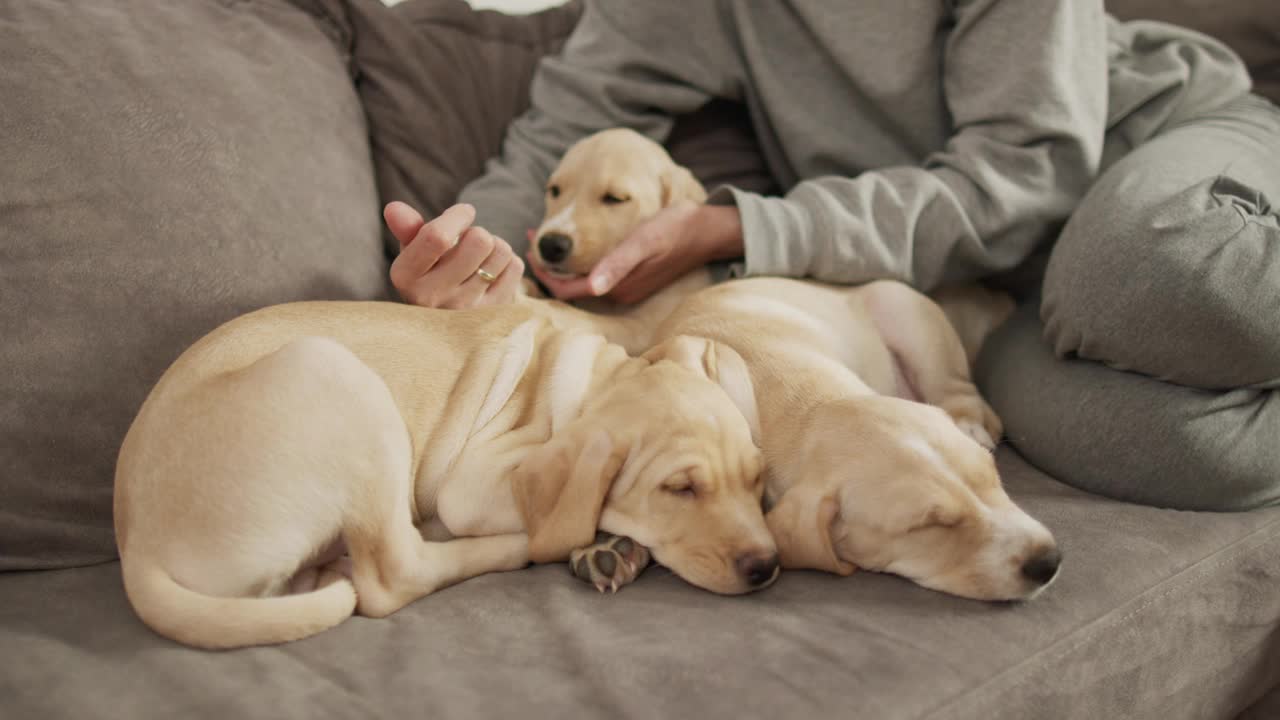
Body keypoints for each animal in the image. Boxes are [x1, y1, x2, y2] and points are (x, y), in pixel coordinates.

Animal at [117, 299, 778, 648]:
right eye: (680, 489)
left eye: (756, 481)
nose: (768, 567)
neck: (595, 378)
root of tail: (136, 546)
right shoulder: (474, 484)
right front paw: (602, 538)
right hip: (335, 372)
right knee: (393, 574)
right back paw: (506, 550)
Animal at [529, 127, 1059, 594]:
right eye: (930, 526)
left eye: (994, 481)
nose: (1049, 562)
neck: (806, 402)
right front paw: (609, 546)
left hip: (906, 313)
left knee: (961, 390)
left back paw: (970, 420)